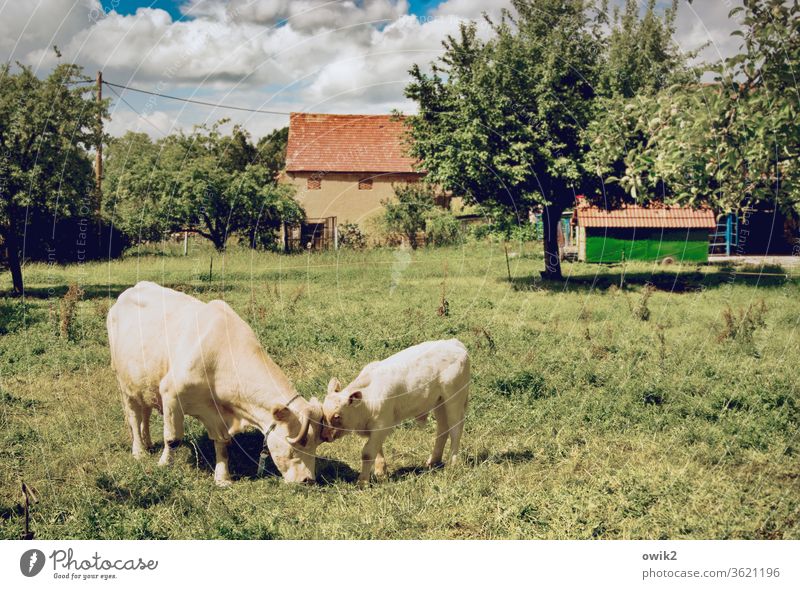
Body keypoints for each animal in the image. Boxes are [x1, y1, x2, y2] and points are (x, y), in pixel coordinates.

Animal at [108, 282, 324, 484]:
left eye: (315, 444)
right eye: (298, 444)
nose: (308, 480)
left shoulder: (216, 413)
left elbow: (222, 444)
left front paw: (222, 478)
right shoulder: (170, 394)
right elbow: (172, 439)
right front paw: (164, 464)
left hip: (144, 385)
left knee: (144, 412)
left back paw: (148, 443)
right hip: (123, 385)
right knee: (134, 417)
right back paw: (139, 451)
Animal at [318, 340, 468, 482]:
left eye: (337, 416)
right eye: (323, 414)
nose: (324, 436)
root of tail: (455, 343)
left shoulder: (381, 425)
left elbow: (367, 453)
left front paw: (363, 481)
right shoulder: (374, 430)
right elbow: (377, 449)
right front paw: (380, 472)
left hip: (454, 399)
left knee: (456, 429)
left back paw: (452, 464)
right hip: (440, 402)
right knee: (443, 428)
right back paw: (433, 461)